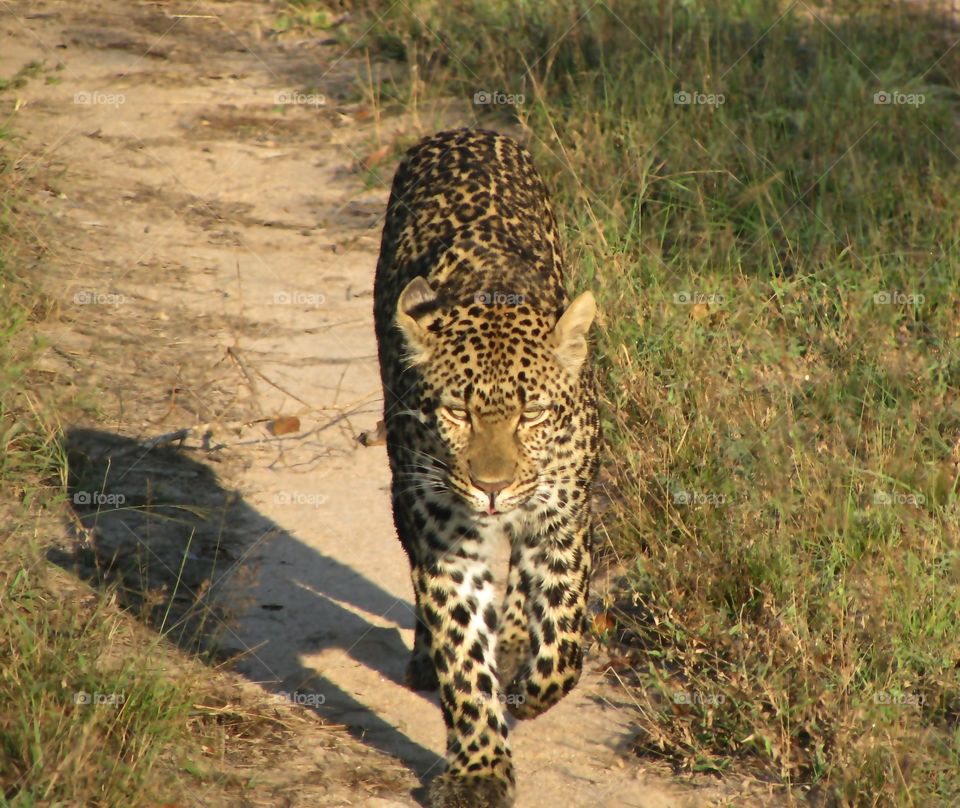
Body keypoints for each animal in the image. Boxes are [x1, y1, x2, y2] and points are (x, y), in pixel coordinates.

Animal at [372, 129, 596, 804]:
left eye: (532, 414)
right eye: (457, 412)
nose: (491, 487)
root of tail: (467, 132)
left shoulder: (564, 521)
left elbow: (565, 641)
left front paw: (528, 690)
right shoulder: (446, 540)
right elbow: (464, 659)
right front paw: (480, 770)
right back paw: (426, 656)